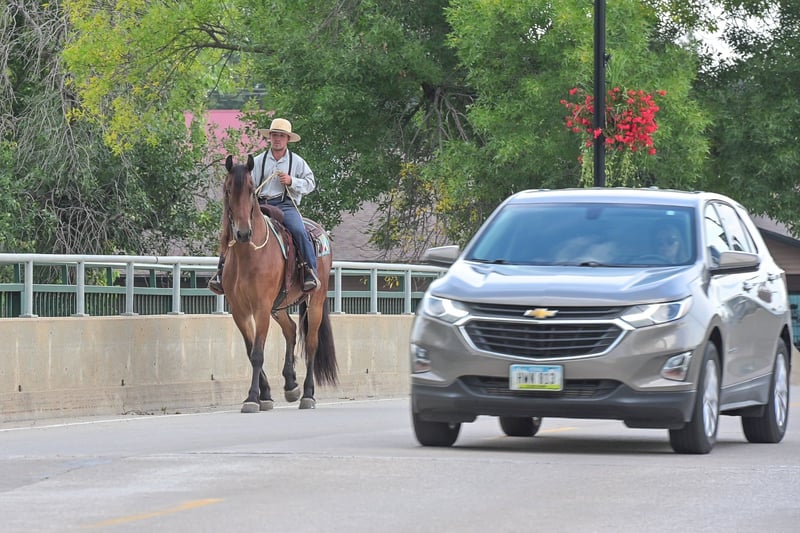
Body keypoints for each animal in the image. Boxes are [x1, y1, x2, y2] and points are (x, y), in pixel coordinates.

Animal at [220, 154, 337, 412]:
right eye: (228, 189)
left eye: (252, 189)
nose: (243, 233)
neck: (248, 255)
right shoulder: (239, 311)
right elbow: (249, 350)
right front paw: (265, 395)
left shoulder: (262, 307)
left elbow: (257, 353)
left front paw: (253, 397)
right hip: (279, 306)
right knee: (291, 330)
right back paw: (291, 384)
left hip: (314, 301)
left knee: (311, 344)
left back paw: (308, 394)